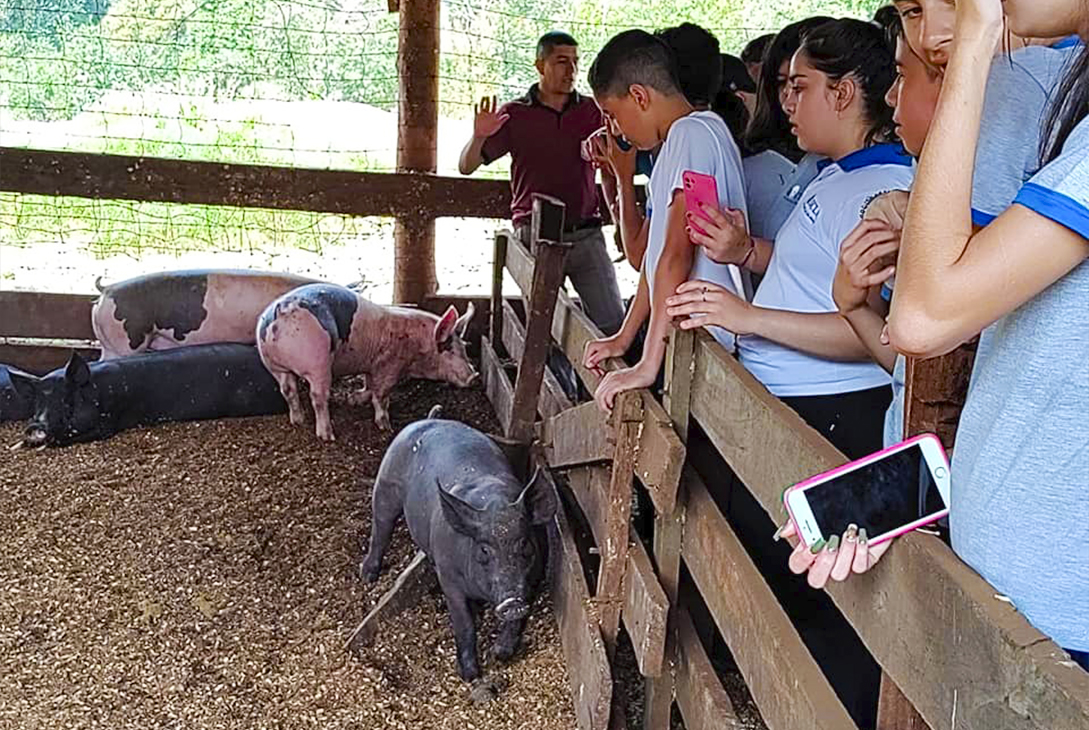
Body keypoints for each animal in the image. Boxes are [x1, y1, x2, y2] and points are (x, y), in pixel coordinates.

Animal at [257, 285, 479, 440]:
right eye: (449, 350)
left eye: (465, 346)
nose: (474, 376)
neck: (416, 345)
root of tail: (282, 311)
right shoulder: (389, 366)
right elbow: (381, 396)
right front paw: (386, 427)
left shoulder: (372, 365)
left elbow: (368, 384)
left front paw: (354, 398)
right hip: (317, 363)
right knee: (318, 397)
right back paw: (328, 436)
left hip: (274, 364)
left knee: (288, 390)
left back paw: (298, 421)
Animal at [361, 409, 557, 684]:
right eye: (484, 549)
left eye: (525, 543)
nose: (512, 603)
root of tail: (429, 419)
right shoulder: (449, 578)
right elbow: (464, 624)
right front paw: (470, 675)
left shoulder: (533, 577)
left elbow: (516, 622)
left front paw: (500, 653)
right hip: (386, 485)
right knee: (380, 528)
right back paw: (367, 576)